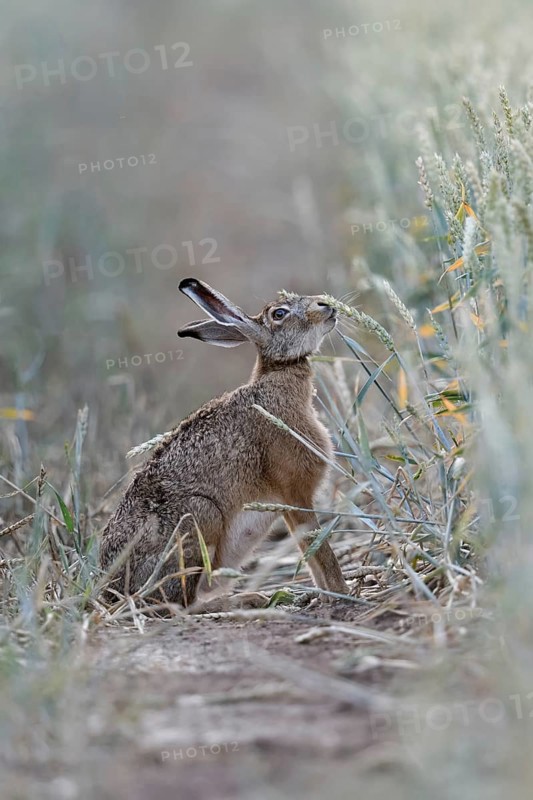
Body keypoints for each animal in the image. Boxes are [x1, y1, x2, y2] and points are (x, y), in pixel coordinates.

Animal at [99, 278, 348, 610]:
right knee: (181, 604)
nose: (326, 305)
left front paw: (325, 594)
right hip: (199, 519)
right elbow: (320, 548)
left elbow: (310, 552)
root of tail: (113, 591)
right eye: (279, 314)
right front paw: (343, 592)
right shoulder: (294, 492)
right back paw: (248, 599)